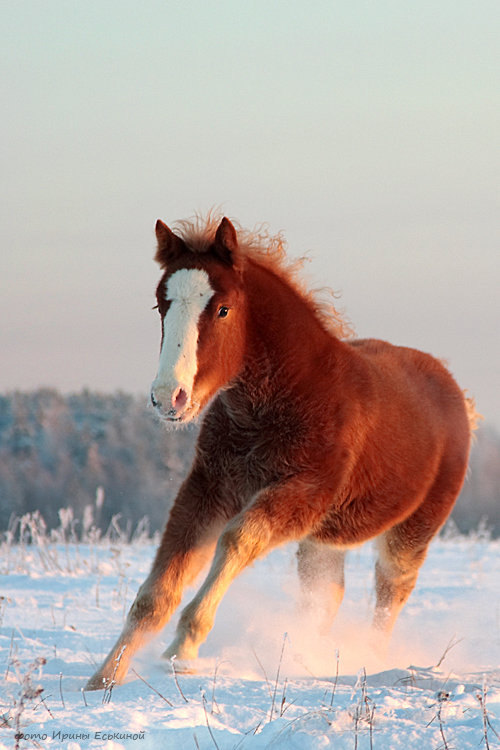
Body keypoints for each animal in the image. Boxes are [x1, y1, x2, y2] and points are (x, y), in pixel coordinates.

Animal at [86, 214, 476, 692]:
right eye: (162, 305)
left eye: (223, 309)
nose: (168, 398)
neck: (287, 399)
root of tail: (456, 395)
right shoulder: (209, 487)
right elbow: (156, 592)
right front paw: (105, 678)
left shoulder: (302, 493)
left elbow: (237, 539)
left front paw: (183, 648)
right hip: (325, 539)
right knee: (326, 595)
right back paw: (308, 654)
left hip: (412, 530)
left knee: (391, 592)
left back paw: (368, 657)